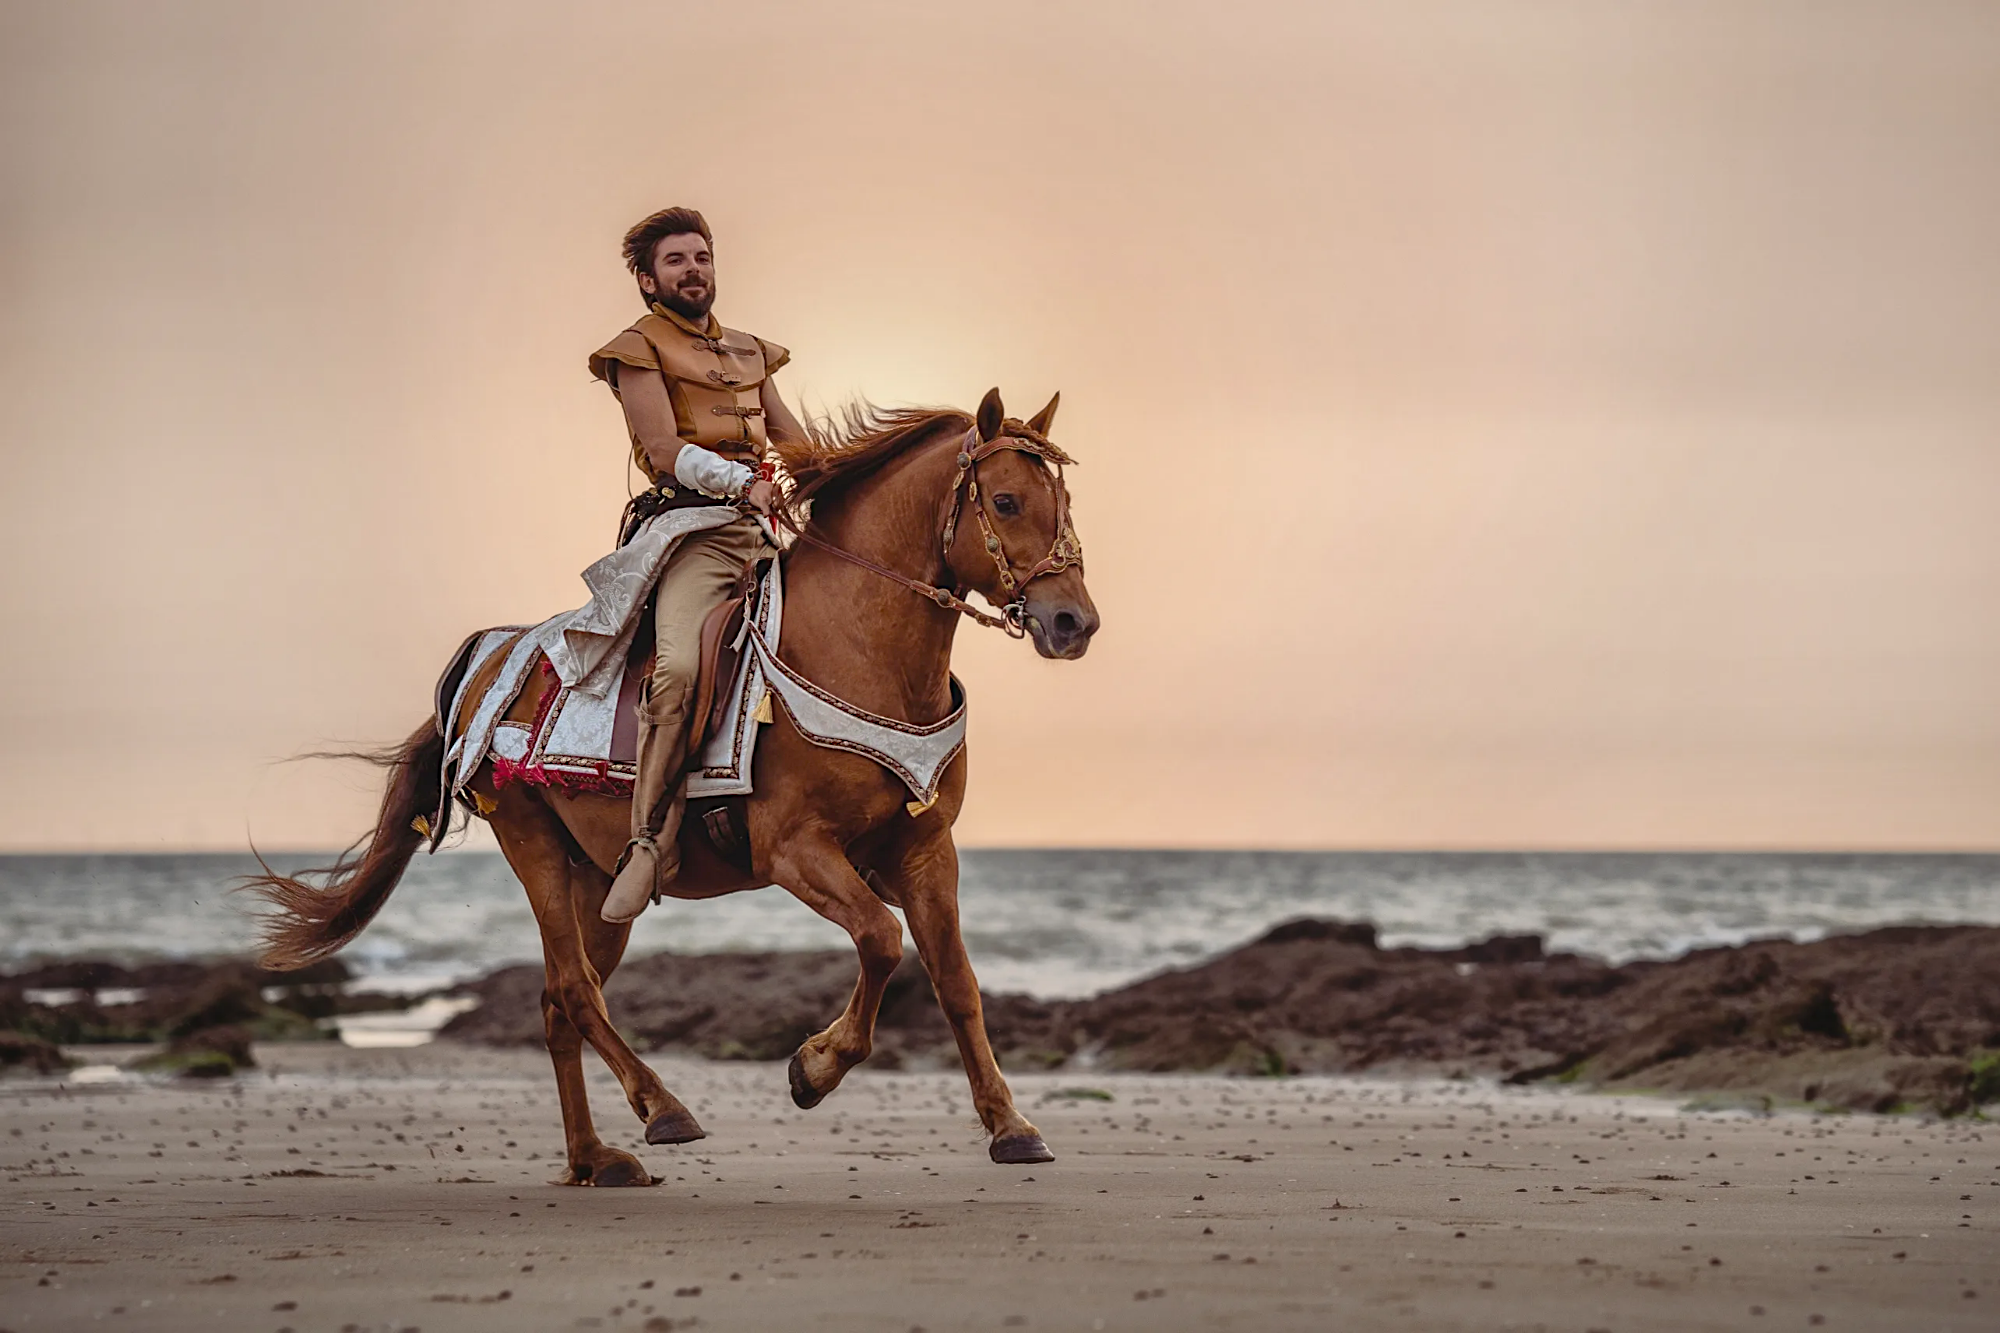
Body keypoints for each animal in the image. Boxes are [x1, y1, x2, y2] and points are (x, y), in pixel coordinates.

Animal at [246, 384, 1112, 1184]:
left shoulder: (926, 849)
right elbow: (879, 939)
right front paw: (813, 1067)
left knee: (559, 1002)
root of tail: (484, 663)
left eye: (1065, 502)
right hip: (532, 842)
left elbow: (957, 980)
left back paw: (595, 1157)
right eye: (1005, 500)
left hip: (600, 882)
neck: (859, 650)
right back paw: (662, 1108)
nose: (1075, 622)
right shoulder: (793, 847)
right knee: (576, 989)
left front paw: (1011, 1125)